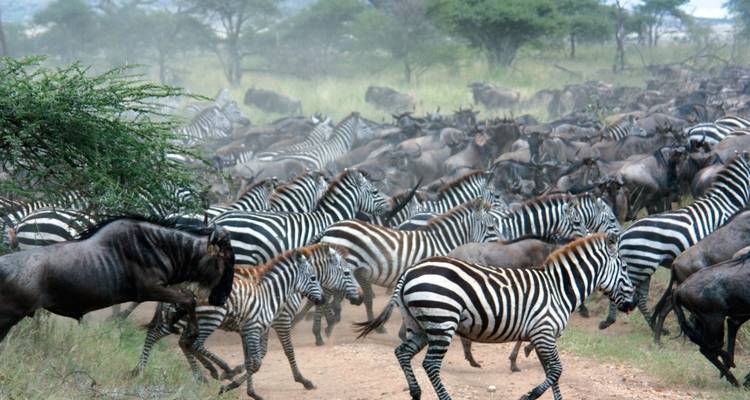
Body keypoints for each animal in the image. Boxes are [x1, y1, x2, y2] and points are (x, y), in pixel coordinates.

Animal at [132, 244, 358, 399]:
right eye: (347, 273)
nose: (359, 297)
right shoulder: (280, 321)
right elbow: (287, 351)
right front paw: (303, 380)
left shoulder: (259, 325)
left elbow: (257, 355)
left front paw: (238, 378)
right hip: (203, 317)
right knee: (170, 337)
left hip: (183, 316)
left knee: (178, 340)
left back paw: (202, 375)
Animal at [355, 233, 635, 400]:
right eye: (624, 267)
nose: (632, 304)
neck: (559, 288)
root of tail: (409, 272)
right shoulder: (544, 333)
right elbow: (556, 371)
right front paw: (528, 396)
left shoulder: (542, 337)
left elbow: (553, 373)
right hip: (442, 321)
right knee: (430, 364)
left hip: (419, 324)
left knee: (402, 353)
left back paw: (415, 393)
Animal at [599, 153, 750, 333]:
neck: (726, 202)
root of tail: (624, 234)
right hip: (641, 265)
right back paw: (610, 320)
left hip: (642, 267)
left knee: (640, 298)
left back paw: (656, 327)